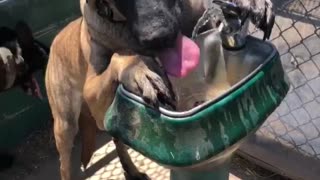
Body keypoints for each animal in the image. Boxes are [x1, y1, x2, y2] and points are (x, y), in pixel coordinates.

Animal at [44, 0, 276, 179]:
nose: (159, 37)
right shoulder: (94, 97)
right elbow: (121, 56)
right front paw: (137, 69)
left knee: (118, 140)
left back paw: (131, 169)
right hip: (65, 125)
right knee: (65, 165)